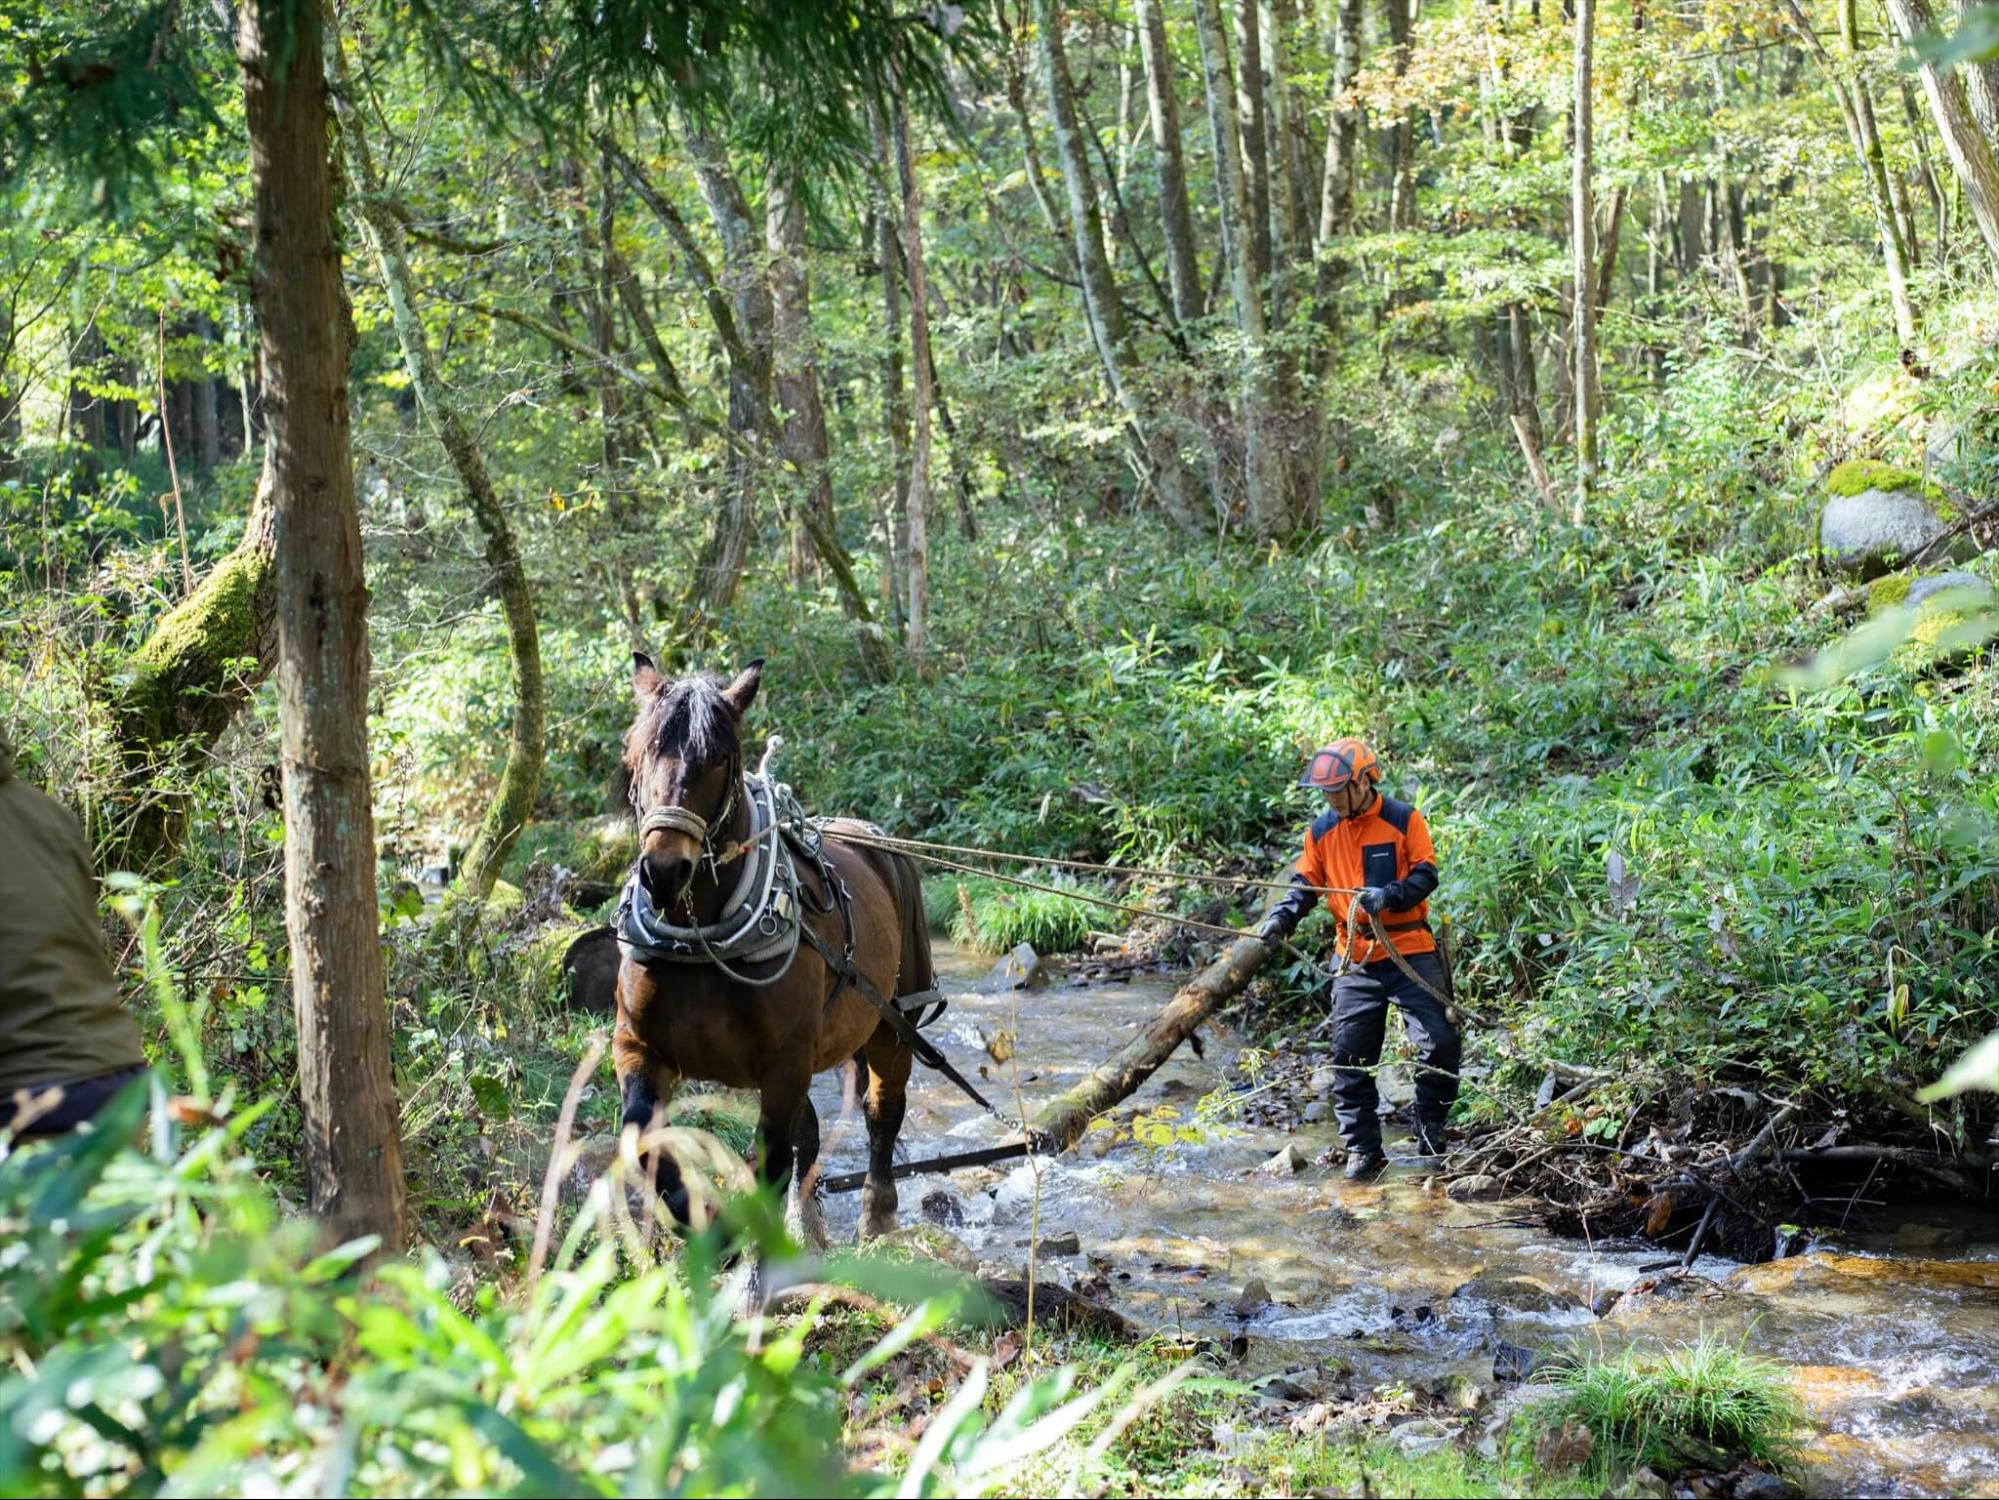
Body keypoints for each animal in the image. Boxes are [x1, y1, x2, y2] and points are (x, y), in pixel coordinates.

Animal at [612, 654, 932, 1247]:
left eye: (718, 758)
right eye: (638, 753)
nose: (664, 871)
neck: (701, 938)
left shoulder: (785, 1063)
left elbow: (770, 1161)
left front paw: (732, 1241)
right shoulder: (638, 1047)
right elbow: (646, 1140)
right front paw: (697, 1222)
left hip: (892, 1022)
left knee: (883, 1111)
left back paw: (876, 1215)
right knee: (812, 1135)